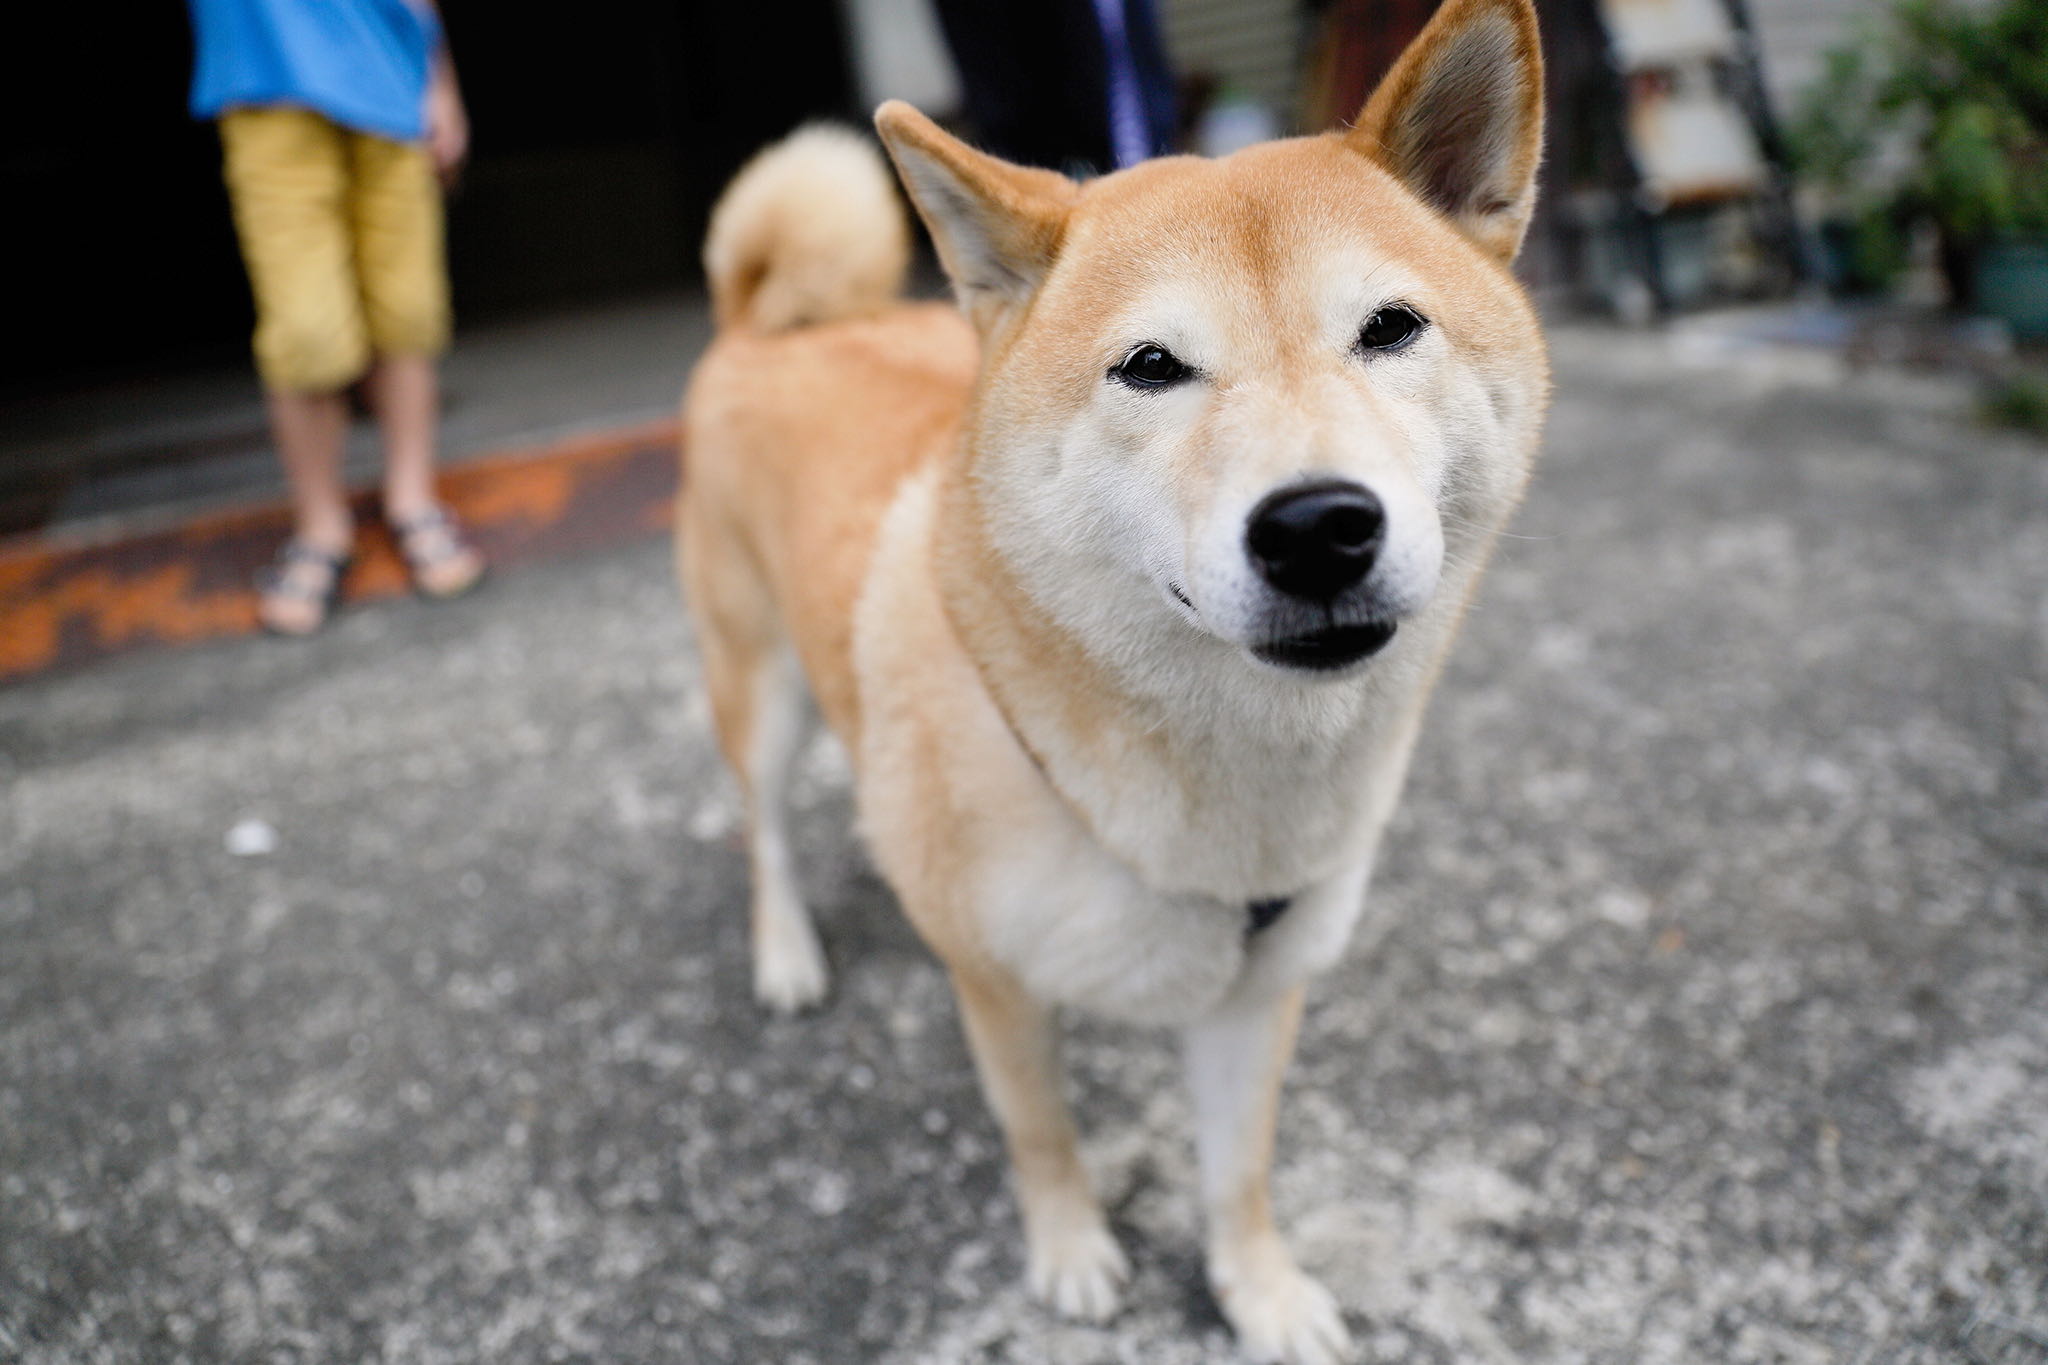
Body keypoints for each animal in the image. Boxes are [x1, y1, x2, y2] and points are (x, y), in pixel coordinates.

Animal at [675, 1, 1547, 1357]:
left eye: (1389, 329)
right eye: (1149, 365)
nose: (1316, 526)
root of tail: (774, 320)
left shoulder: (1255, 995)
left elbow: (1237, 1170)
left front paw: (1258, 1292)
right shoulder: (996, 988)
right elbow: (1040, 1134)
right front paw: (1072, 1254)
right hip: (755, 684)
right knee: (760, 826)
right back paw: (785, 953)